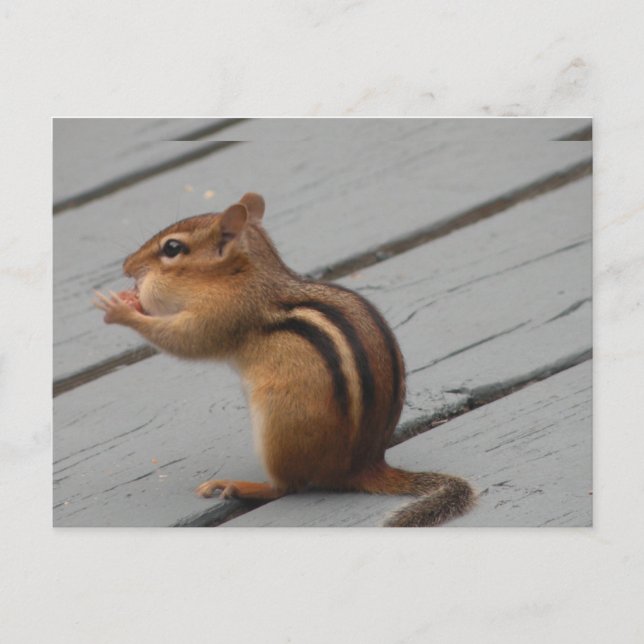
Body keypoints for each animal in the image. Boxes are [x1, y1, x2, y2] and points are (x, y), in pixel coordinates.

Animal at [94, 193, 475, 527]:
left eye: (172, 248)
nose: (127, 266)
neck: (244, 275)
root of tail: (363, 466)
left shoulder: (224, 316)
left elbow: (185, 342)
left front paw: (121, 310)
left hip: (279, 423)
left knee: (288, 487)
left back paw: (239, 486)